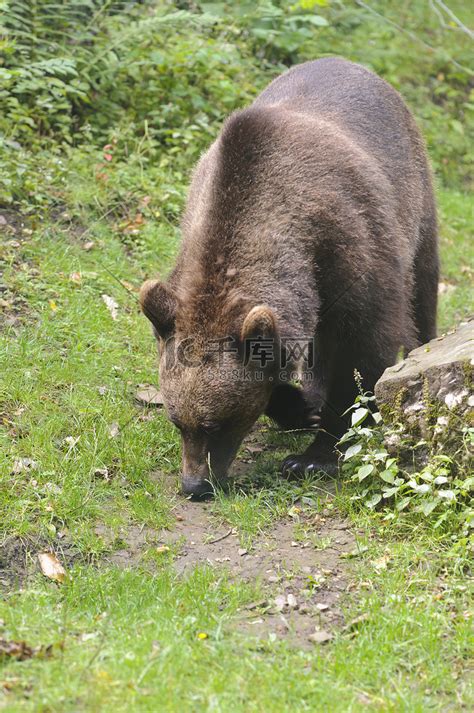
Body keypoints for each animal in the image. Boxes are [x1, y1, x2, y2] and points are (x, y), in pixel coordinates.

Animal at [139, 58, 438, 498]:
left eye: (216, 423)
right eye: (178, 421)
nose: (194, 485)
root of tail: (349, 62)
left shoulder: (352, 245)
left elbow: (363, 350)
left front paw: (314, 454)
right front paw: (299, 408)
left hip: (415, 194)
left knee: (423, 288)